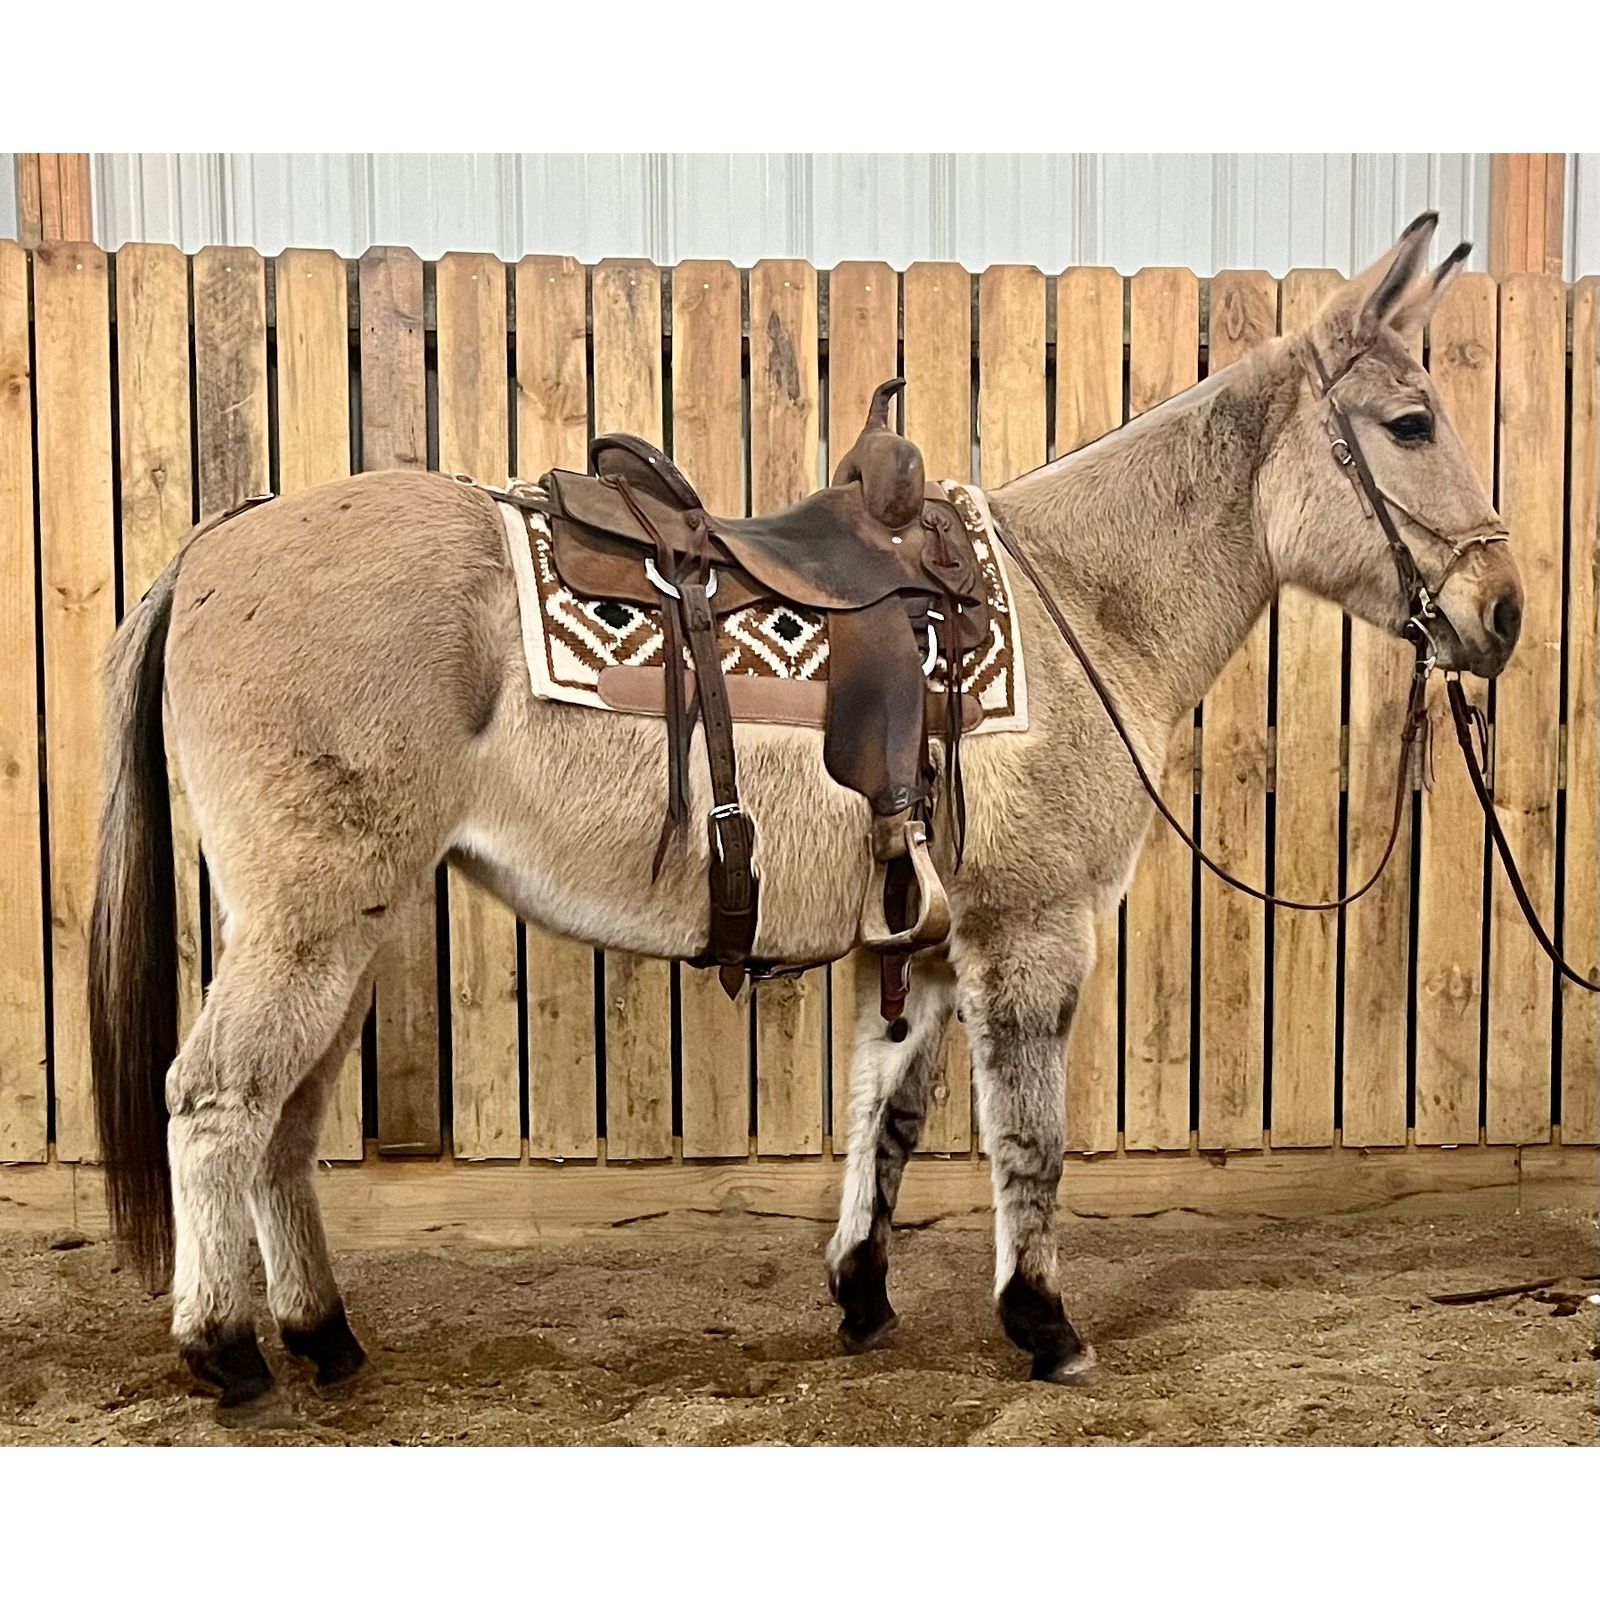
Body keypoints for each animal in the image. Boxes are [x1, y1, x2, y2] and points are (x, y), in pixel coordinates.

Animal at [90, 214, 1522, 1408]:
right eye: (1407, 422)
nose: (1502, 612)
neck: (1082, 599)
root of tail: (216, 544)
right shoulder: (1030, 935)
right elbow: (1029, 1138)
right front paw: (1044, 1323)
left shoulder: (925, 947)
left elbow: (886, 1117)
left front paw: (861, 1295)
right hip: (311, 922)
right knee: (215, 1101)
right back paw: (224, 1351)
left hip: (351, 927)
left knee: (286, 1127)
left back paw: (325, 1335)